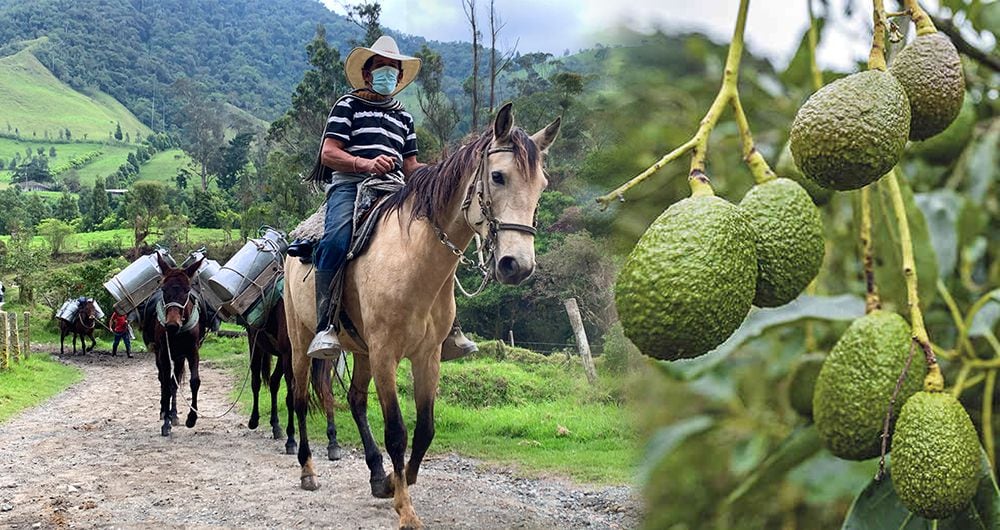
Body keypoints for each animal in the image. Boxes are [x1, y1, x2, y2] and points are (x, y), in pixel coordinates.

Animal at [286, 101, 560, 524]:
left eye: (541, 186)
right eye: (498, 176)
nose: (518, 265)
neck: (413, 259)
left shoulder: (426, 355)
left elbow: (426, 428)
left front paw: (395, 483)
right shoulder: (386, 353)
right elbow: (397, 431)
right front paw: (406, 510)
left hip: (361, 350)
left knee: (355, 400)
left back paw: (376, 475)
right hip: (302, 339)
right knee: (299, 399)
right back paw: (308, 471)